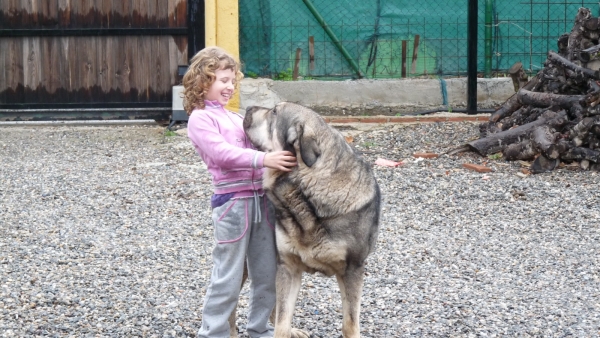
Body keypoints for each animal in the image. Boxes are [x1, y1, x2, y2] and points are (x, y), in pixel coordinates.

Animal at [240, 101, 378, 336]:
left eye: (274, 112)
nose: (247, 108)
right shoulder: (288, 266)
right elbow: (282, 323)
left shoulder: (353, 270)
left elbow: (350, 324)